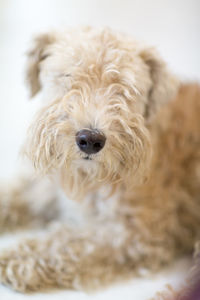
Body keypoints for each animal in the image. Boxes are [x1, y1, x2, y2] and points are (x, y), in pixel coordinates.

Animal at [0, 27, 200, 292]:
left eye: (126, 87)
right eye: (67, 75)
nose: (90, 139)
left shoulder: (131, 235)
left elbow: (66, 243)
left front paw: (16, 258)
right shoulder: (43, 190)